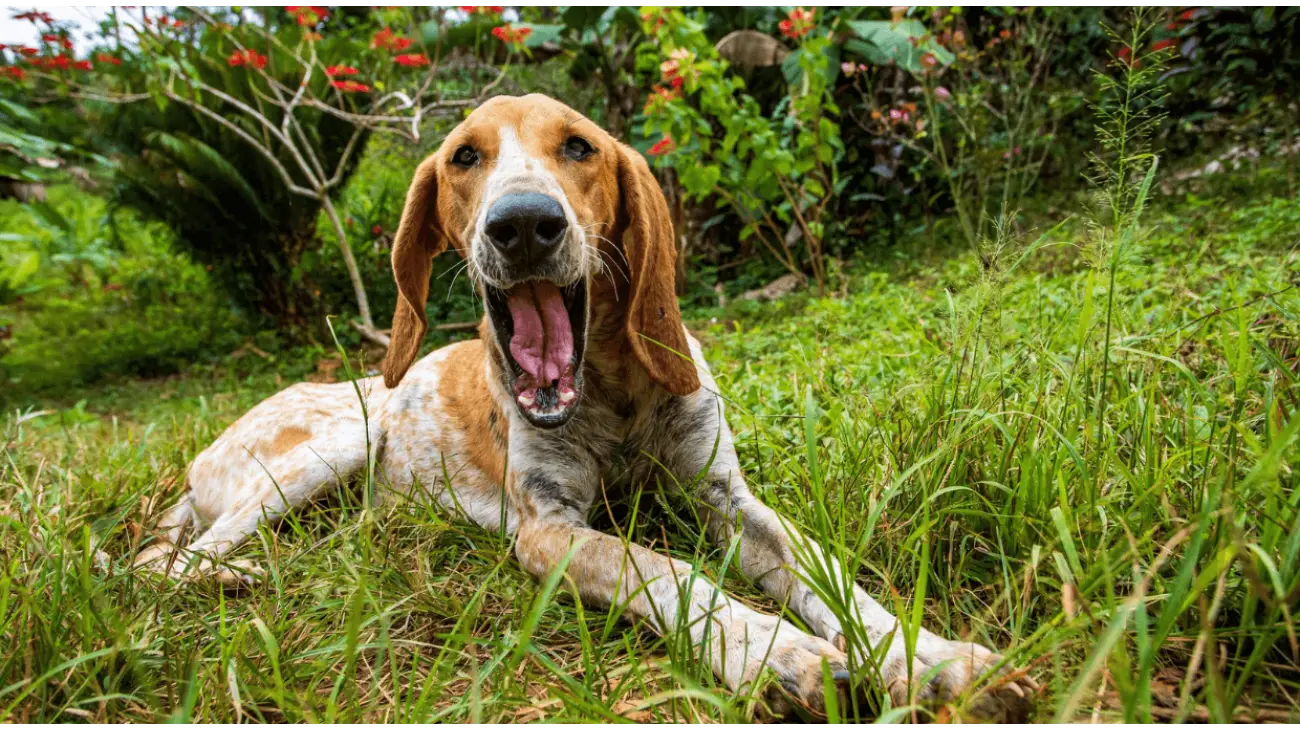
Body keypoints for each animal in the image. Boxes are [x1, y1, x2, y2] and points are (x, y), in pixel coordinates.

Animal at [134, 93, 1034, 717]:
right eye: (464, 157)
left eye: (578, 147)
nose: (524, 223)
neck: (611, 386)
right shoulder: (549, 530)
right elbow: (666, 571)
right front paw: (783, 655)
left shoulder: (729, 501)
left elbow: (832, 572)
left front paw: (930, 659)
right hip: (335, 444)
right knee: (162, 562)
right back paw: (239, 576)